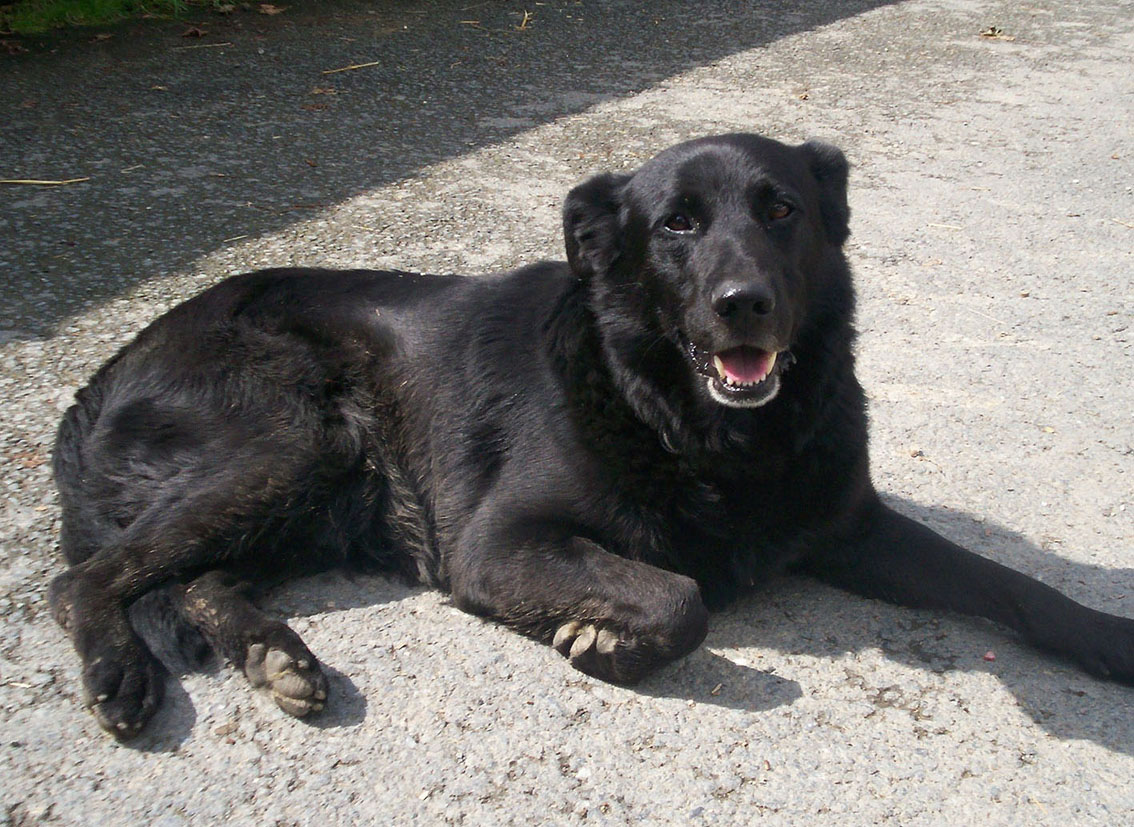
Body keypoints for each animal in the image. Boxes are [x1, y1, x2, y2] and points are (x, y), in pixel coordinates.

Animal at [48, 133, 1134, 739]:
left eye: (781, 209)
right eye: (676, 226)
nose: (745, 303)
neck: (699, 428)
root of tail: (108, 369)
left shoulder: (856, 527)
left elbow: (1012, 583)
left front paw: (1102, 634)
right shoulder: (498, 543)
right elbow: (683, 597)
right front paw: (603, 639)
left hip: (314, 499)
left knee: (198, 578)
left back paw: (273, 651)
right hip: (294, 443)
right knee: (86, 579)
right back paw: (122, 669)